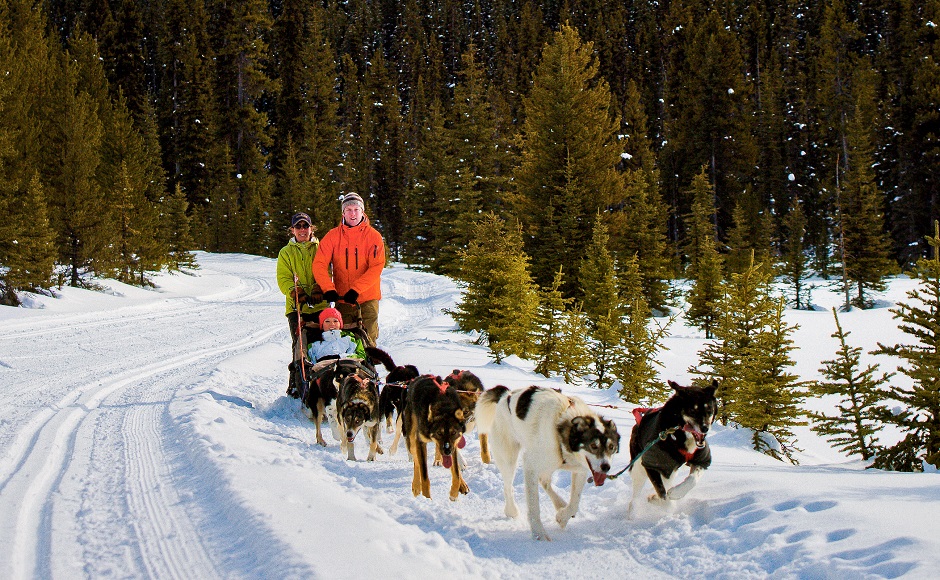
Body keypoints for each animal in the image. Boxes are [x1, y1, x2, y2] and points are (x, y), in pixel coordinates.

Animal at [474, 386, 620, 540]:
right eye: (593, 445)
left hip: (549, 463)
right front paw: (539, 534)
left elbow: (574, 503)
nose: (606, 467)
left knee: (544, 481)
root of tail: (506, 395)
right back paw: (511, 510)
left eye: (611, 447)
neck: (560, 430)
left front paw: (563, 516)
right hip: (509, 458)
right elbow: (534, 508)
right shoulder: (531, 466)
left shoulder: (580, 470)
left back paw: (560, 504)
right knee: (509, 486)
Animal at [628, 378, 716, 520]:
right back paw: (632, 512)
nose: (705, 428)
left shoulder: (701, 460)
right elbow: (663, 496)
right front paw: (662, 501)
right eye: (692, 410)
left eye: (709, 410)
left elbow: (692, 480)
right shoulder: (651, 465)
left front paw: (675, 493)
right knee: (636, 494)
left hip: (669, 470)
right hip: (639, 467)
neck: (679, 435)